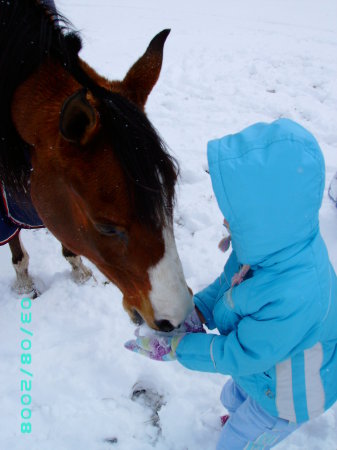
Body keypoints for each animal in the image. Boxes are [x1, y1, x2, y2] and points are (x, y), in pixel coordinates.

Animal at [0, 0, 193, 330]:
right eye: (106, 227)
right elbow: (15, 243)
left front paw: (77, 269)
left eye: (168, 198)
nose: (175, 318)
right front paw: (25, 284)